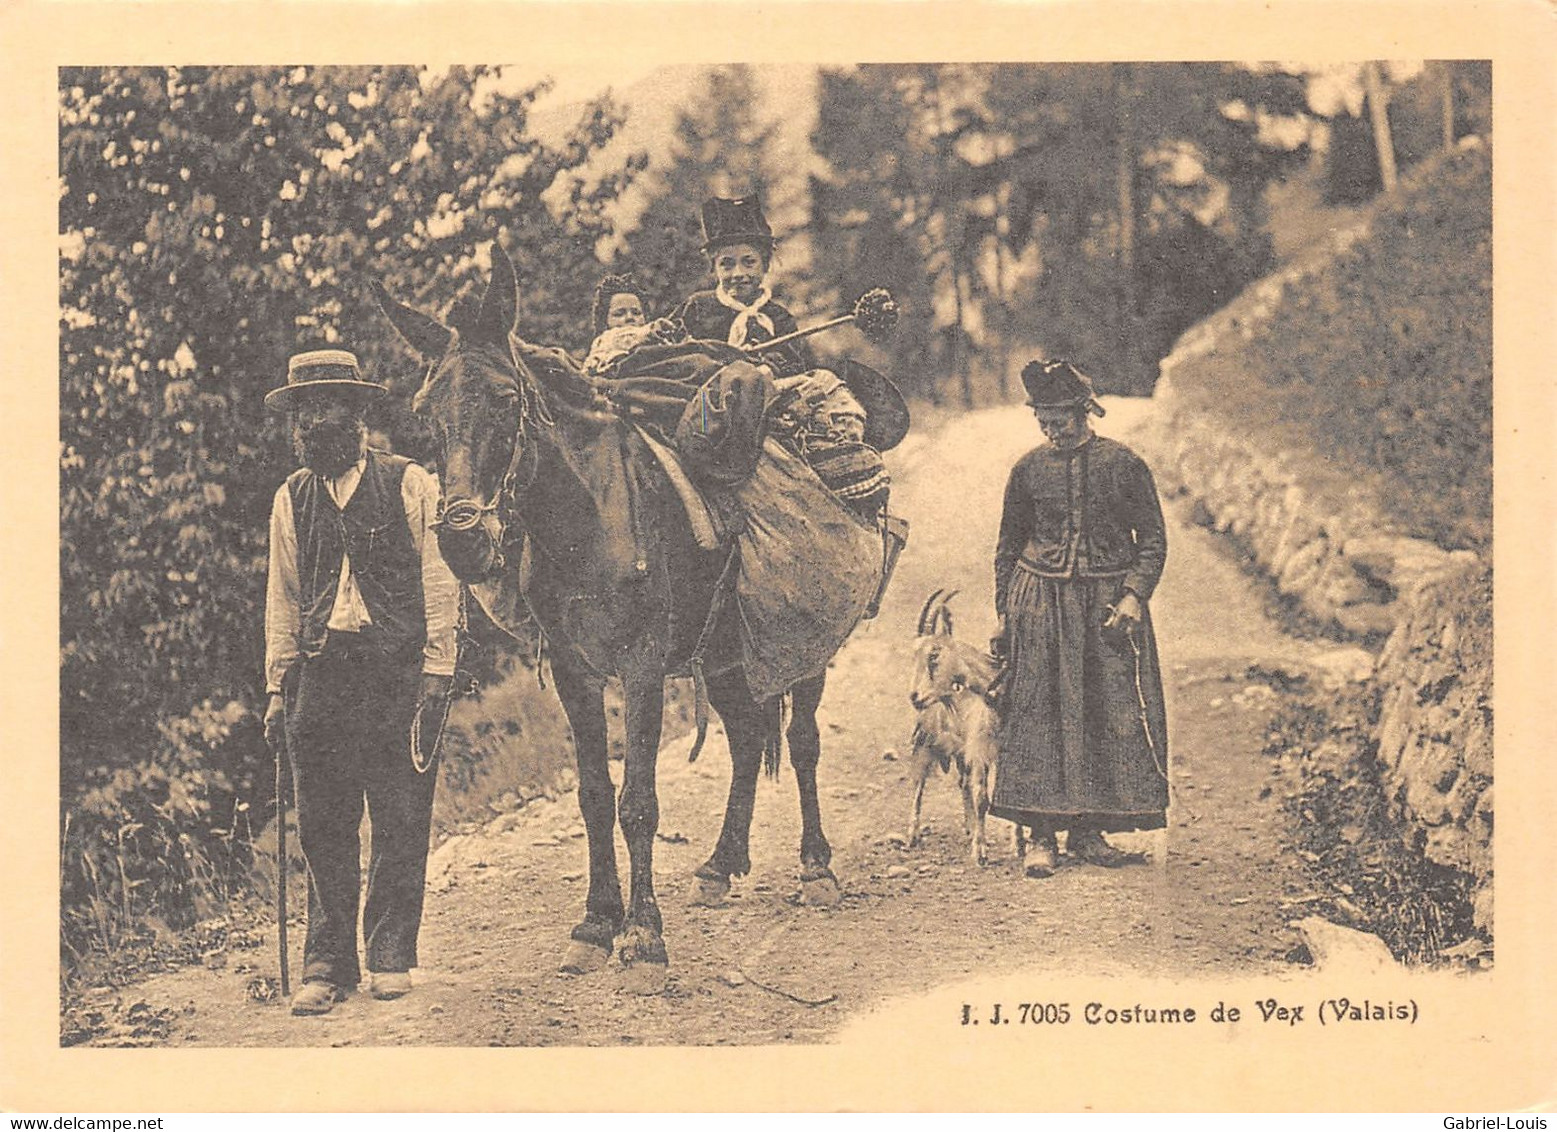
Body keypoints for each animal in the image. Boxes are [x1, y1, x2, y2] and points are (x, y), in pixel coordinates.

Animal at [909, 588, 1002, 865]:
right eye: (915, 655)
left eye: (934, 654)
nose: (915, 697)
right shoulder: (980, 751)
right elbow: (982, 798)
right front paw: (980, 852)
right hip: (926, 742)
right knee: (918, 782)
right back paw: (912, 835)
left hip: (960, 751)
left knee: (962, 783)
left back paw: (969, 827)